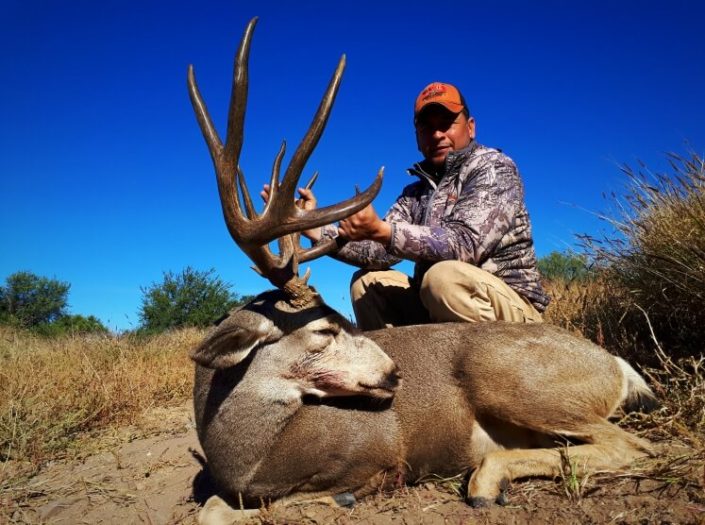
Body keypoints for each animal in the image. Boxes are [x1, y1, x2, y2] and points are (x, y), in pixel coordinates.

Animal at [187, 17, 658, 523]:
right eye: (324, 332)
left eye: (336, 321)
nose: (395, 374)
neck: (251, 456)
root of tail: (614, 364)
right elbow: (212, 506)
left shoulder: (374, 457)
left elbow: (256, 504)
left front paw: (336, 498)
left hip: (513, 380)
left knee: (634, 446)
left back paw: (486, 481)